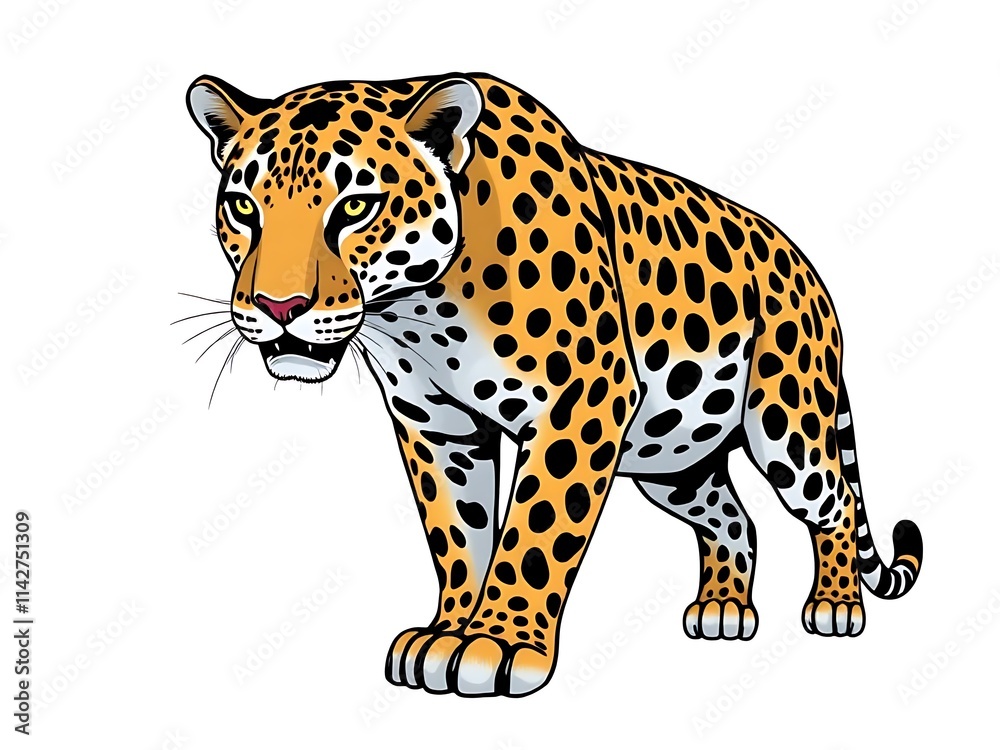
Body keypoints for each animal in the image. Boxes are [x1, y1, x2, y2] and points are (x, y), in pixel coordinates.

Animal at [185, 71, 923, 697]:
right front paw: (449, 631)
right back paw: (722, 609)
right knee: (733, 519)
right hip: (672, 461)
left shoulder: (583, 400)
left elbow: (535, 529)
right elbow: (460, 534)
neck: (421, 312)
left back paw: (835, 605)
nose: (278, 306)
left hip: (786, 424)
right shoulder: (436, 427)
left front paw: (500, 645)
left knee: (834, 503)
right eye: (244, 209)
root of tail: (809, 272)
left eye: (358, 207)